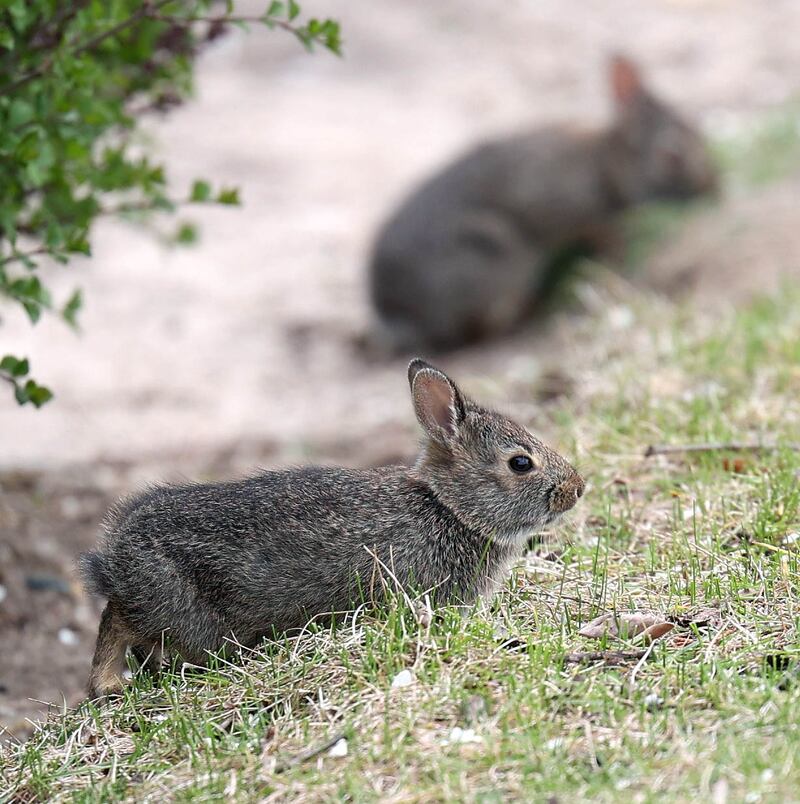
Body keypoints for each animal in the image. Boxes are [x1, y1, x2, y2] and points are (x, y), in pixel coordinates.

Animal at [80, 359, 584, 697]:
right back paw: (111, 684)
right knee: (125, 625)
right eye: (520, 463)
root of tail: (114, 562)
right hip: (187, 612)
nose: (576, 489)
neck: (448, 508)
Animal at [368, 55, 718, 352]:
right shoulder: (587, 216)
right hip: (496, 258)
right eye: (671, 156)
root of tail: (397, 313)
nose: (711, 187)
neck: (610, 164)